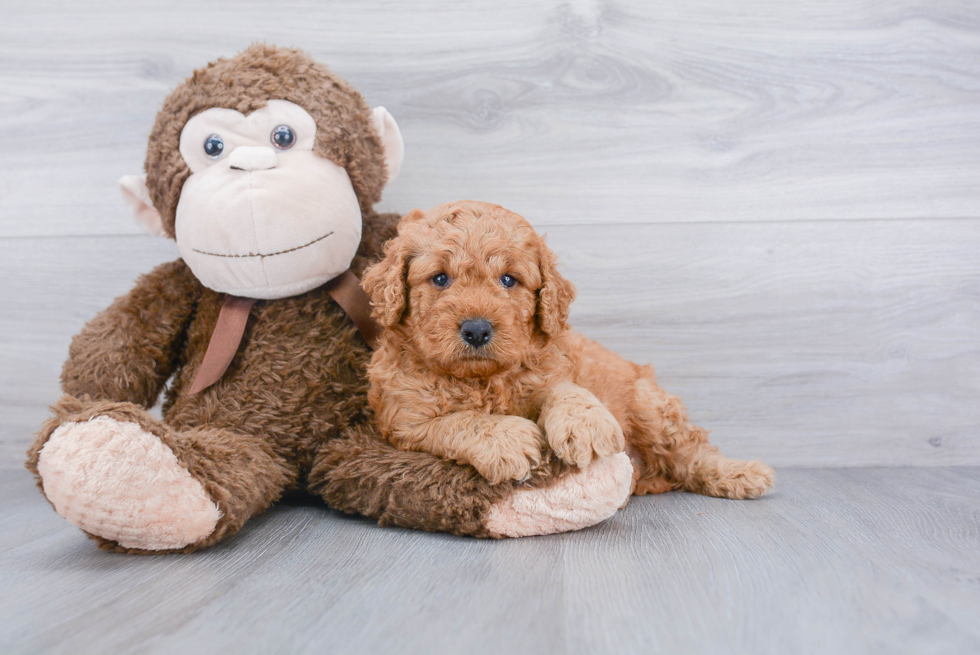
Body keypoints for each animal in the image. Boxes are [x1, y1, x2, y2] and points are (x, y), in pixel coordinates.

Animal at [360, 200, 772, 498]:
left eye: (508, 279)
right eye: (440, 278)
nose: (477, 330)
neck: (483, 379)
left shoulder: (552, 368)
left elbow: (567, 389)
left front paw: (585, 424)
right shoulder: (406, 422)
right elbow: (458, 421)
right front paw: (507, 439)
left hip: (650, 407)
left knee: (691, 452)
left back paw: (740, 474)